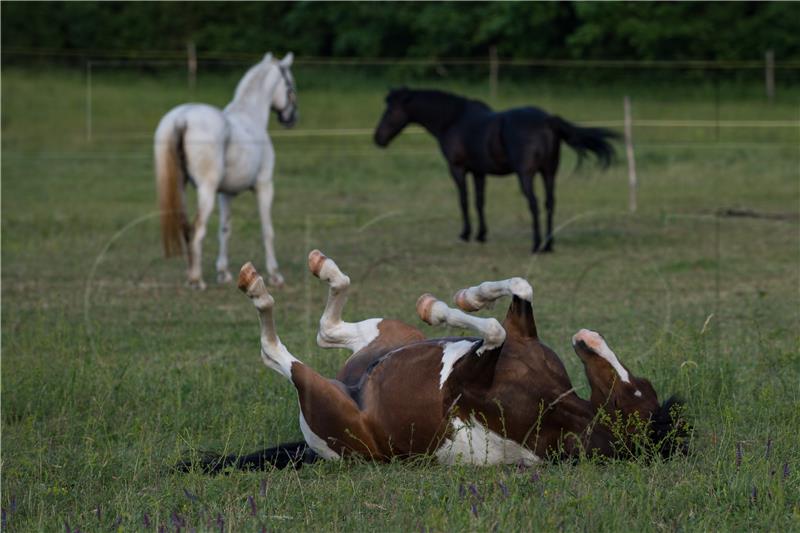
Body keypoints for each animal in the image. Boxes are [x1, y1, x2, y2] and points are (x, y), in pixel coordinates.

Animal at [154, 52, 296, 288]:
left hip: (181, 187)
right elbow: (267, 230)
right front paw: (275, 274)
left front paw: (223, 273)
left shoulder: (226, 194)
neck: (251, 117)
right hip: (206, 190)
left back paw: (191, 274)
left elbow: (225, 230)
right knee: (197, 230)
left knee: (185, 227)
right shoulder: (264, 186)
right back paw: (196, 280)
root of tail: (182, 118)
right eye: (290, 84)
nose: (291, 119)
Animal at [181, 249, 688, 470]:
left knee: (278, 353)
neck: (559, 405)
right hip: (385, 338)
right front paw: (469, 296)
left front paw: (442, 307)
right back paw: (322, 267)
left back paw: (257, 288)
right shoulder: (519, 335)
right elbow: (520, 289)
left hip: (324, 399)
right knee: (328, 331)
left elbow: (494, 330)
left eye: (632, 393)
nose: (589, 339)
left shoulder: (466, 385)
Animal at [374, 88, 620, 252]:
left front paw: (465, 234)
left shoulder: (458, 169)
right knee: (550, 203)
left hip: (526, 174)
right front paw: (481, 234)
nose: (378, 138)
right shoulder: (479, 172)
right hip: (549, 172)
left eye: (390, 111)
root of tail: (547, 120)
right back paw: (549, 244)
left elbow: (464, 200)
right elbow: (479, 201)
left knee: (534, 203)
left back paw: (536, 244)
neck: (453, 120)